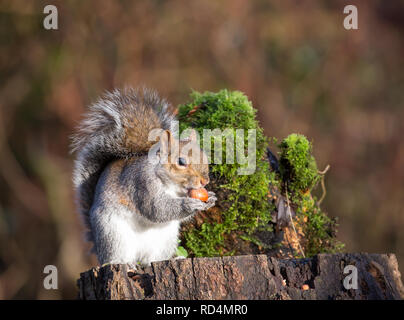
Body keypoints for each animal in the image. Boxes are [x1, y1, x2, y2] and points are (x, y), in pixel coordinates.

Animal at [72, 87, 218, 264]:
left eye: (205, 157)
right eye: (181, 161)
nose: (205, 181)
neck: (171, 186)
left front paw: (211, 198)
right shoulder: (142, 184)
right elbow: (156, 208)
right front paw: (188, 204)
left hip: (165, 240)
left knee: (152, 259)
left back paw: (171, 259)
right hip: (113, 235)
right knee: (116, 257)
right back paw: (123, 263)